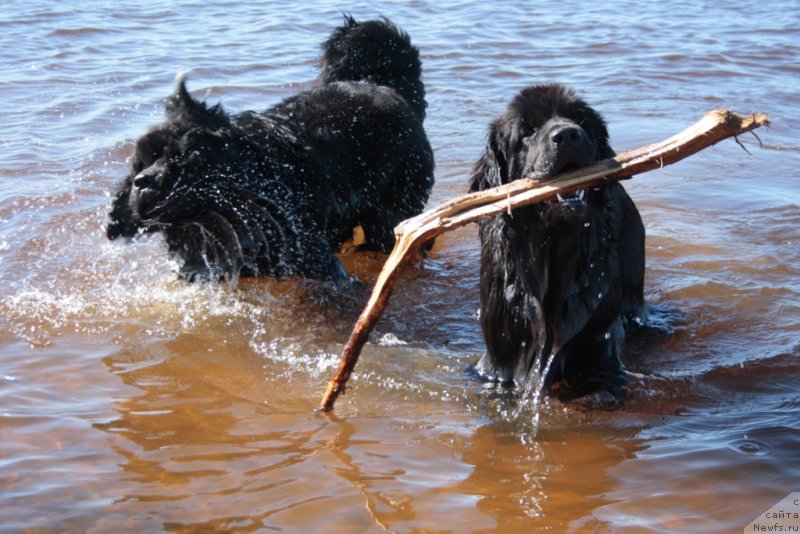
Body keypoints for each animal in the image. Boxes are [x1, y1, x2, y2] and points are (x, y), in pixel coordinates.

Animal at [106, 16, 434, 282]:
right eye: (140, 164)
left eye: (181, 156)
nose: (143, 182)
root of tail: (388, 89)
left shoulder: (311, 252)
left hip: (394, 210)